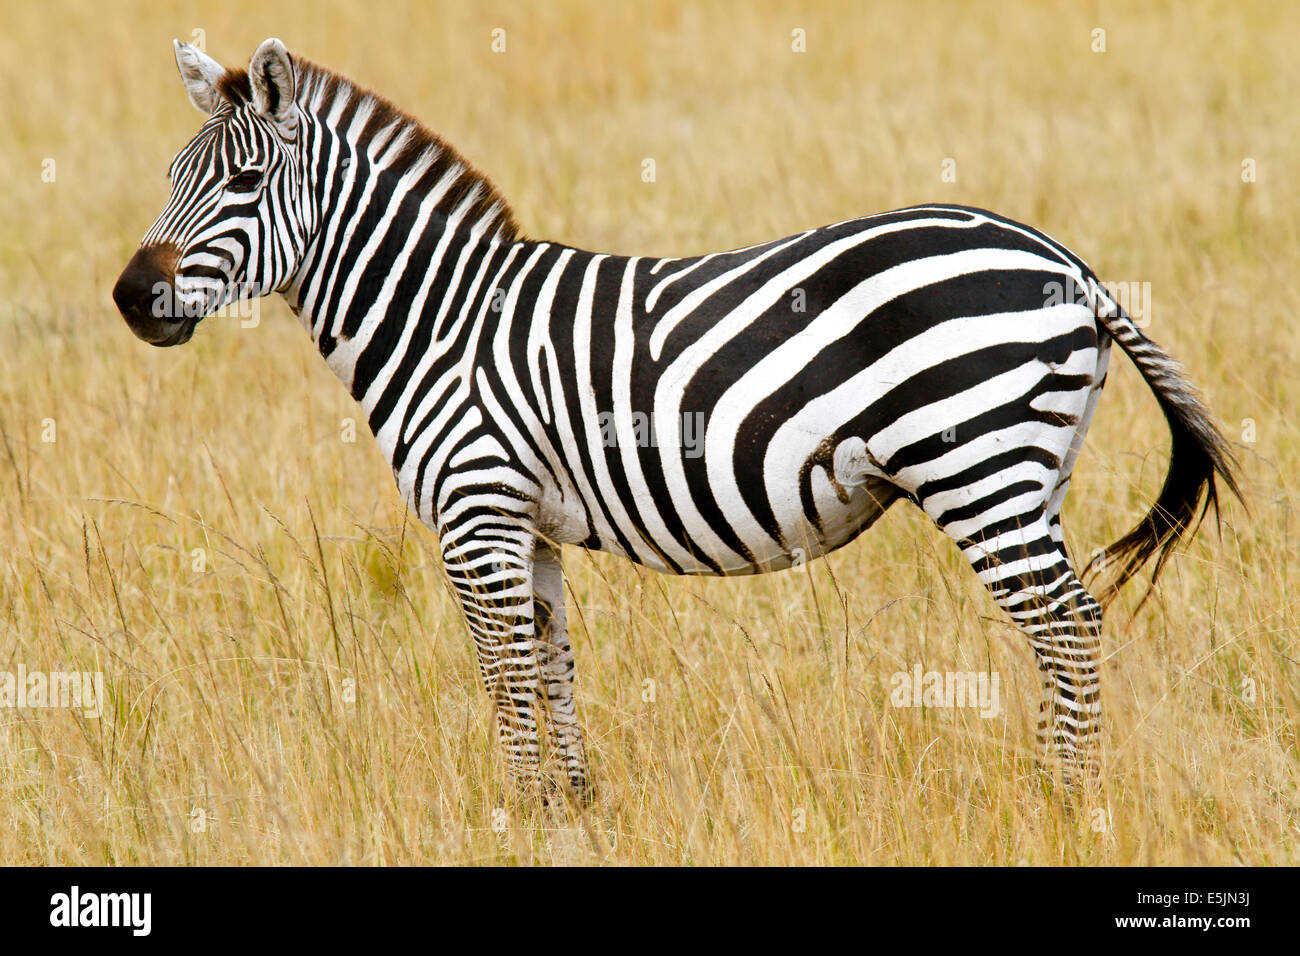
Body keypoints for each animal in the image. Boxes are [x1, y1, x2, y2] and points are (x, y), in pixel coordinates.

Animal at [113, 38, 1239, 798]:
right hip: (1036, 467)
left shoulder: (476, 512)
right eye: (169, 179)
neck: (442, 319)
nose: (131, 298)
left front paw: (515, 809)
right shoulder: (526, 523)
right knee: (1061, 626)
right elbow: (551, 659)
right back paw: (1058, 784)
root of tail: (1064, 261)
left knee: (1066, 624)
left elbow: (502, 668)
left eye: (244, 180)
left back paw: (1067, 800)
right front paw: (568, 807)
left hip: (979, 467)